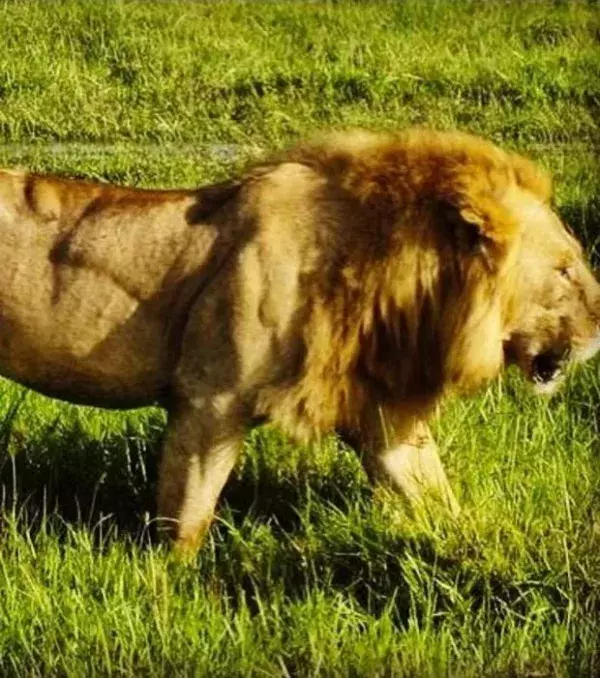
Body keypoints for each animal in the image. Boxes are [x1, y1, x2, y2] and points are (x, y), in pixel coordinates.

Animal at [0, 128, 598, 555]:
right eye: (565, 270)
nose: (598, 328)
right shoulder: (209, 399)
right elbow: (188, 513)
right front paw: (169, 586)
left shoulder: (379, 411)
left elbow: (432, 494)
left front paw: (469, 548)